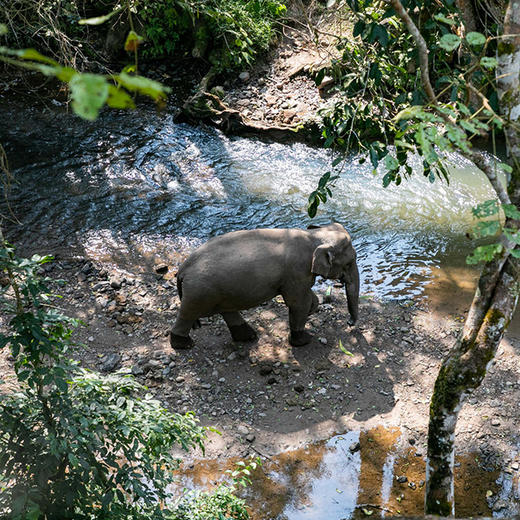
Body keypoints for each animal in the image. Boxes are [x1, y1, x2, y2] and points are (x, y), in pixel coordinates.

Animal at [169, 222, 360, 350]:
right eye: (350, 263)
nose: (349, 323)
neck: (313, 235)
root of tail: (182, 269)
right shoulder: (296, 271)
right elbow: (298, 303)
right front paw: (303, 340)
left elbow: (306, 298)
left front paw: (312, 309)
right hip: (199, 292)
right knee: (188, 313)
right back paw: (184, 344)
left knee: (227, 310)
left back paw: (248, 337)